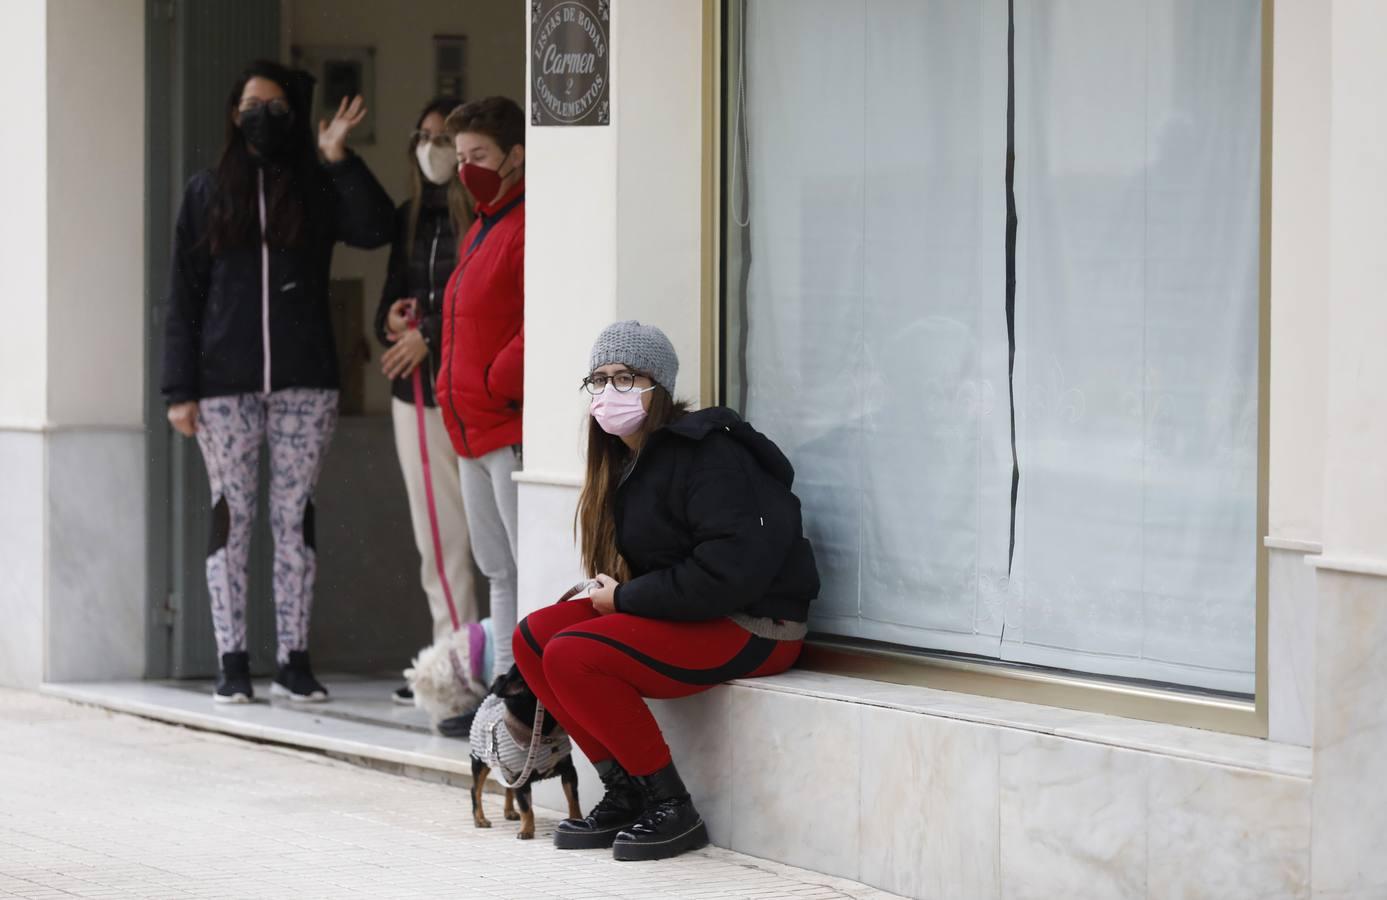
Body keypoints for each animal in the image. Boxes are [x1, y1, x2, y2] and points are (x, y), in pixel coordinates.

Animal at [471, 662, 579, 837]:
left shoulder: (569, 772)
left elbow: (573, 800)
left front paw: (576, 820)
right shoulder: (520, 779)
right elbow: (526, 807)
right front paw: (527, 830)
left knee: (507, 788)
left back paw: (509, 811)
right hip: (480, 762)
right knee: (475, 790)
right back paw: (480, 819)